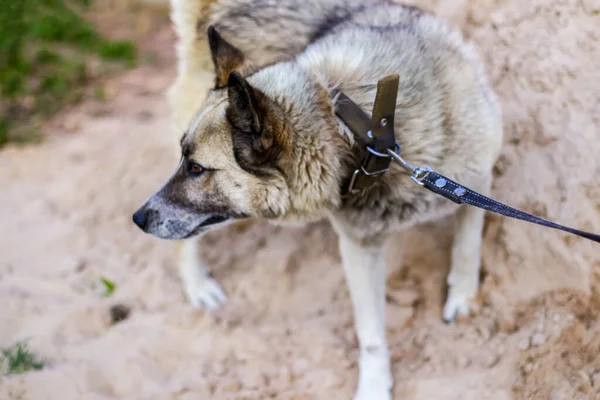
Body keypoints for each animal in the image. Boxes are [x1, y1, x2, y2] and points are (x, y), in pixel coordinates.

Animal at [134, 1, 504, 398]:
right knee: (182, 245)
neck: (371, 133)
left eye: (197, 169)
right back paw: (199, 287)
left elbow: (467, 245)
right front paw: (374, 387)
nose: (138, 218)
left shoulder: (475, 181)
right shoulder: (359, 249)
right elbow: (371, 333)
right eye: (188, 163)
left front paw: (462, 297)